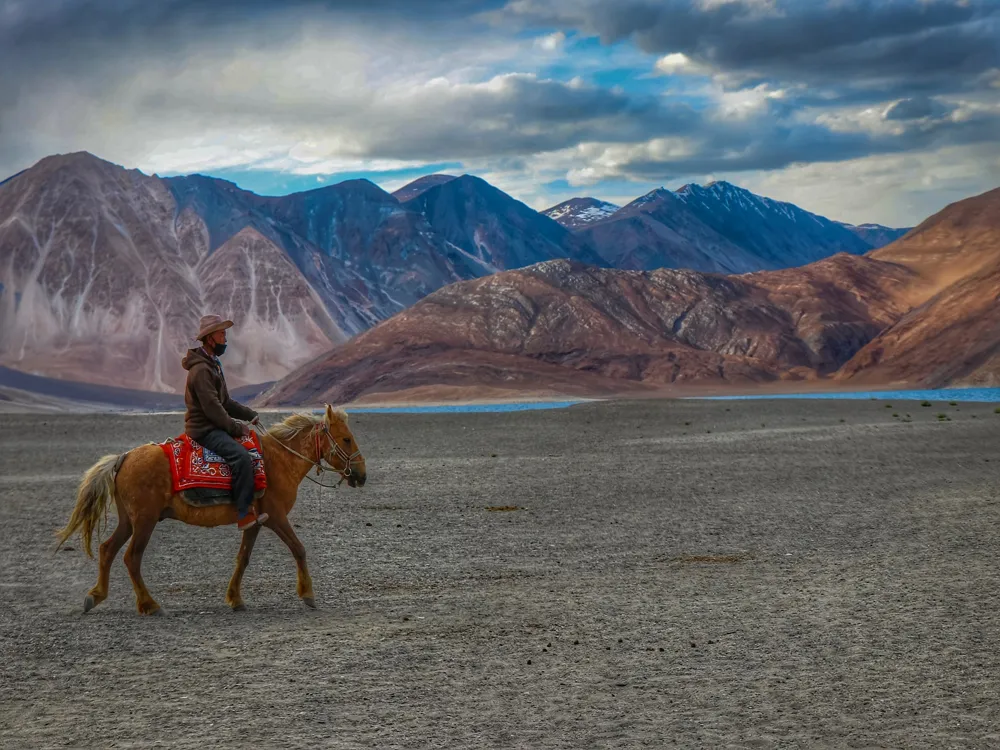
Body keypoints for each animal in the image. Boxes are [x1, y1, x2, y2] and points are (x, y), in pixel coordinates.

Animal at [54, 406, 368, 616]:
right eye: (346, 438)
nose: (361, 476)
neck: (280, 460)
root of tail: (124, 457)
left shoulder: (255, 521)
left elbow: (243, 559)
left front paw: (235, 599)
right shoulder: (277, 517)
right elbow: (299, 549)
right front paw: (308, 595)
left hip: (128, 521)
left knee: (107, 549)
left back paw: (95, 596)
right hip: (144, 521)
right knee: (131, 558)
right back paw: (149, 605)